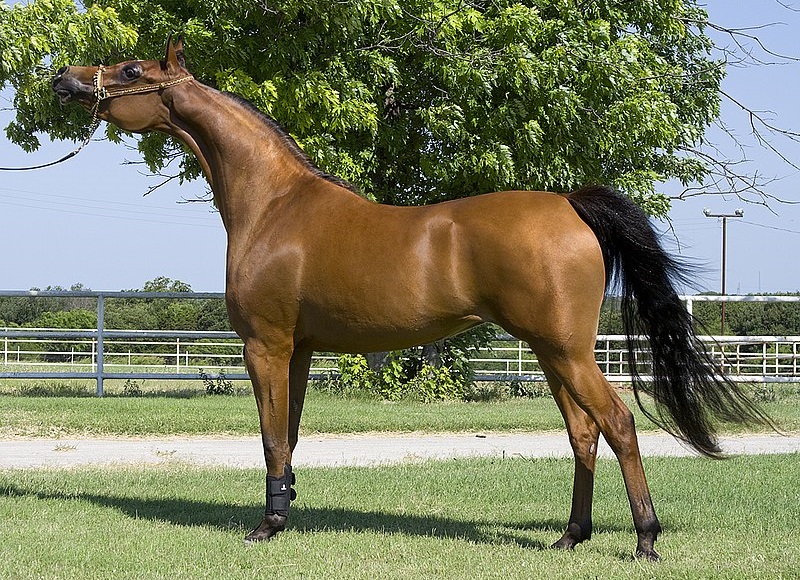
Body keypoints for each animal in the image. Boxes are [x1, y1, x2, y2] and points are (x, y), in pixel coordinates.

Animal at [52, 37, 769, 560]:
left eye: (131, 68)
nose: (63, 78)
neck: (275, 204)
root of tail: (570, 204)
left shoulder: (267, 345)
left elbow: (271, 435)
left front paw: (266, 526)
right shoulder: (301, 351)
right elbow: (289, 435)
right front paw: (284, 512)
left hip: (567, 350)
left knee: (617, 424)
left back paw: (645, 539)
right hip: (551, 352)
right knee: (583, 432)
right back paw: (570, 536)